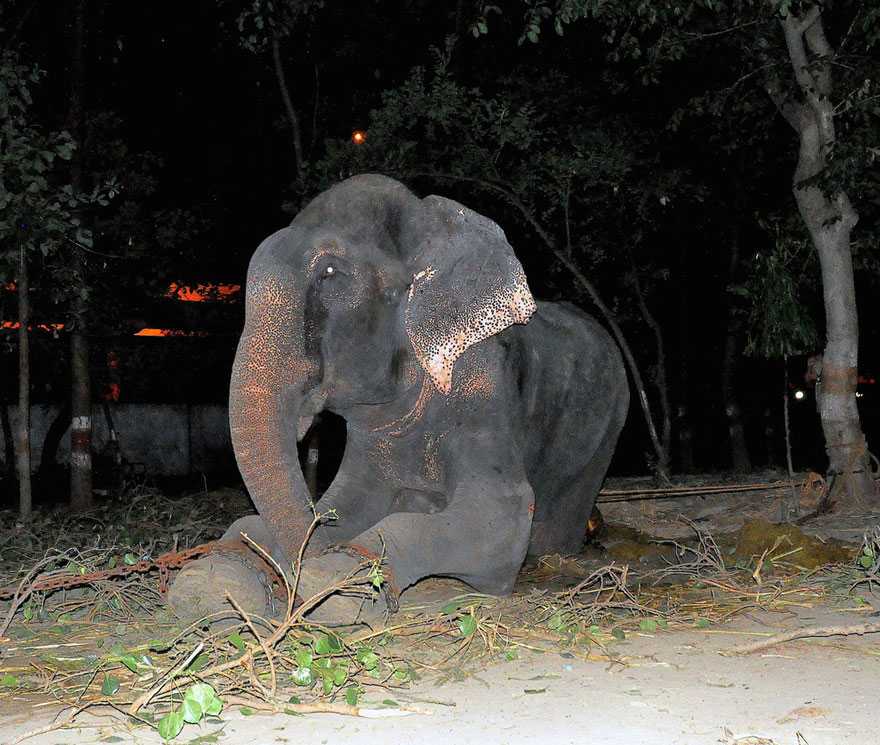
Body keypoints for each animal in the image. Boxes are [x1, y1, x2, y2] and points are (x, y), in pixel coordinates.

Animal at [168, 174, 628, 620]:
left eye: (330, 272)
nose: (291, 582)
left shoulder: (483, 384)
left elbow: (503, 514)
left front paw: (336, 586)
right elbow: (343, 504)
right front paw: (208, 583)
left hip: (607, 431)